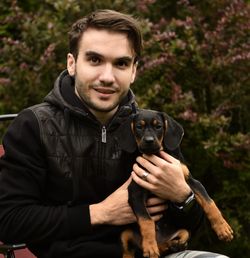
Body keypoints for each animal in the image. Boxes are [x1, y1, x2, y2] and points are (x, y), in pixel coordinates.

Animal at [119, 109, 232, 258]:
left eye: (158, 126)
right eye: (139, 127)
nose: (149, 141)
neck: (156, 155)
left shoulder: (192, 182)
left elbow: (209, 203)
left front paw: (223, 228)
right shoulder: (135, 192)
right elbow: (146, 221)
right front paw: (149, 247)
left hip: (184, 230)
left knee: (181, 238)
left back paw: (174, 245)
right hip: (124, 234)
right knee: (128, 250)